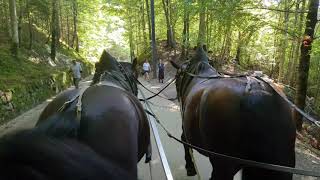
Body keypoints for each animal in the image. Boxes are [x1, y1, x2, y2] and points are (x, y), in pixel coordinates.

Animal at [171, 47, 296, 179]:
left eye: (176, 77)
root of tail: (259, 92)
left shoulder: (185, 127)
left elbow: (184, 142)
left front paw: (190, 166)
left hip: (223, 163)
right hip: (281, 166)